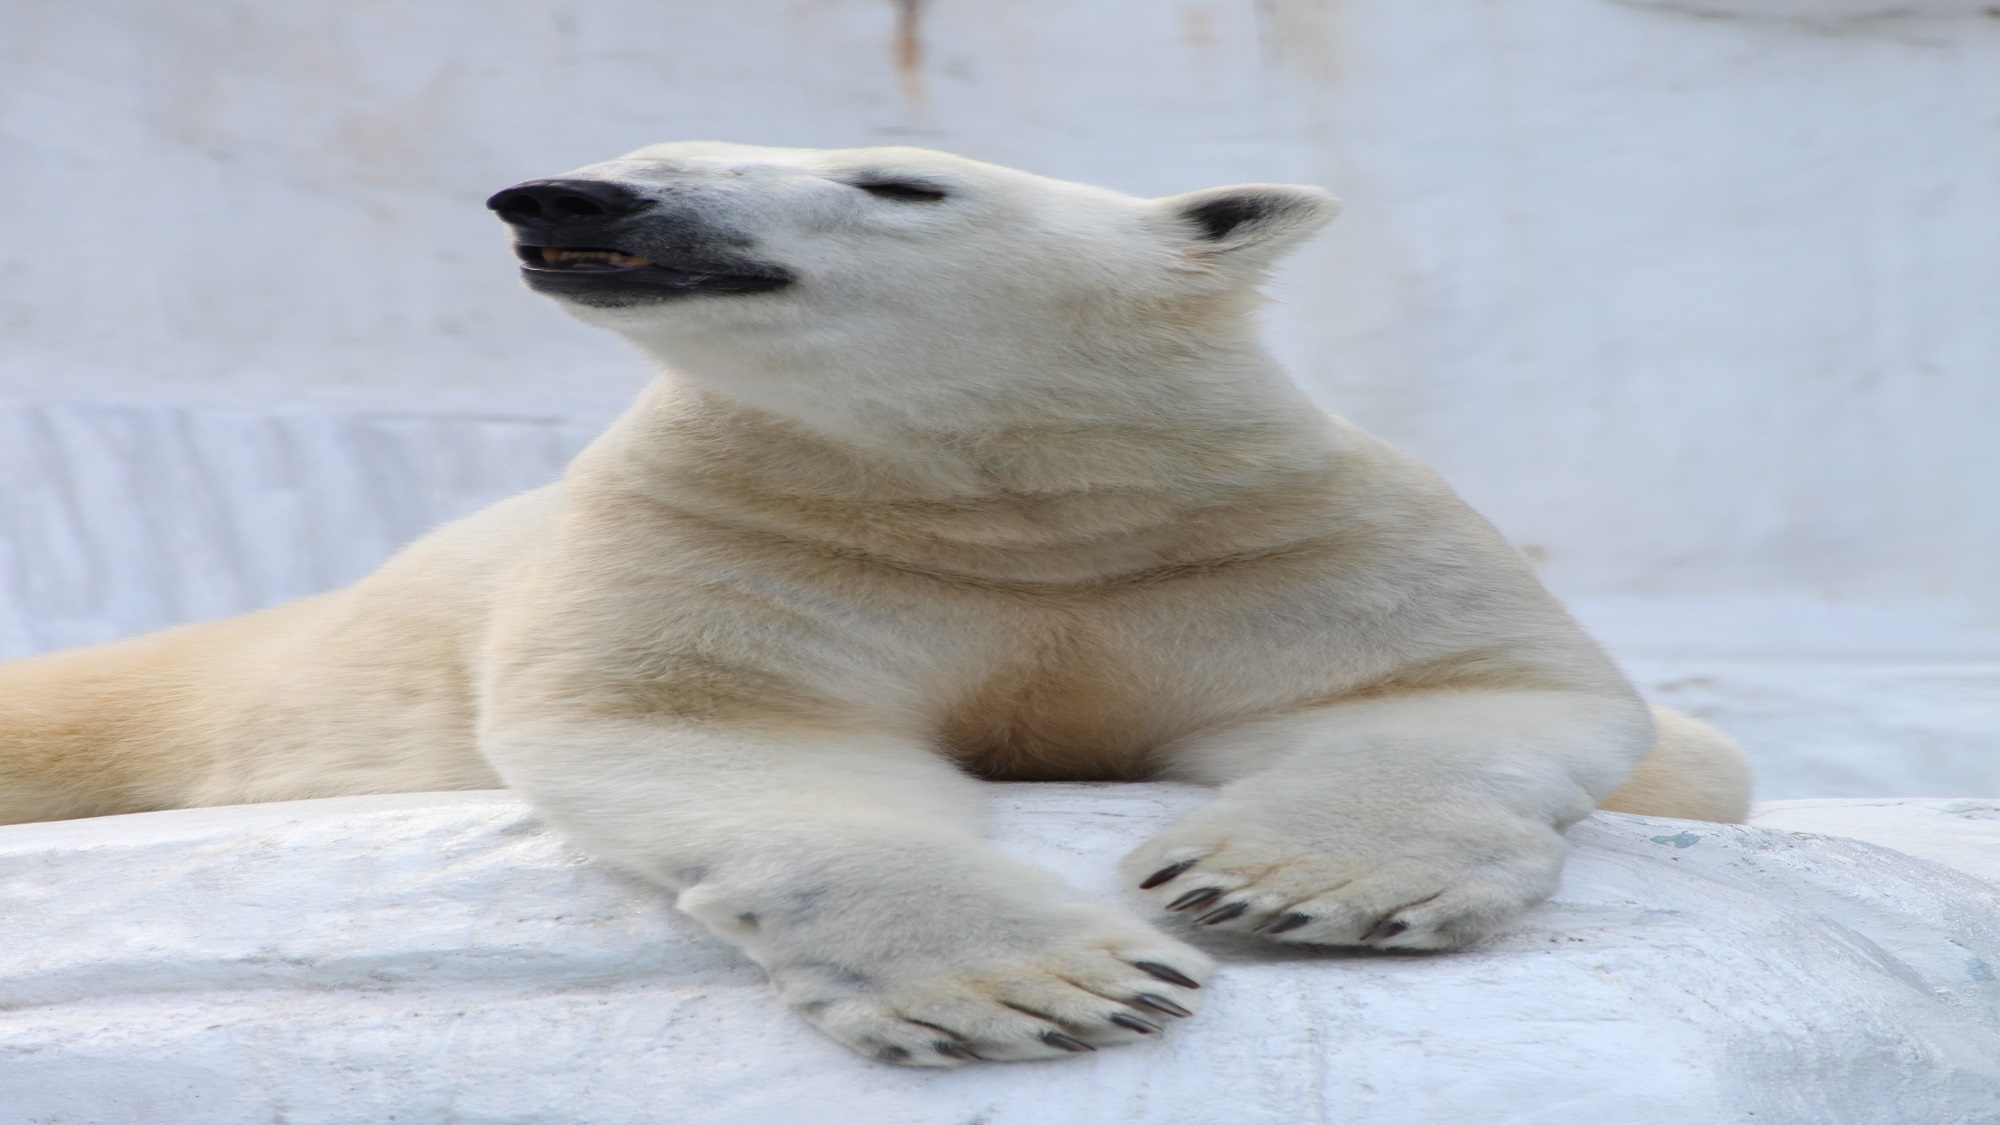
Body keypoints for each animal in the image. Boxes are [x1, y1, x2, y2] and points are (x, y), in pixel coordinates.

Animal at [0, 144, 1744, 1064]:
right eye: (644, 145)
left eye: (900, 183)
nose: (572, 197)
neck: (1012, 492)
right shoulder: (745, 533)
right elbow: (733, 733)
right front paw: (1051, 983)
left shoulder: (1276, 536)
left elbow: (1455, 692)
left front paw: (1282, 888)